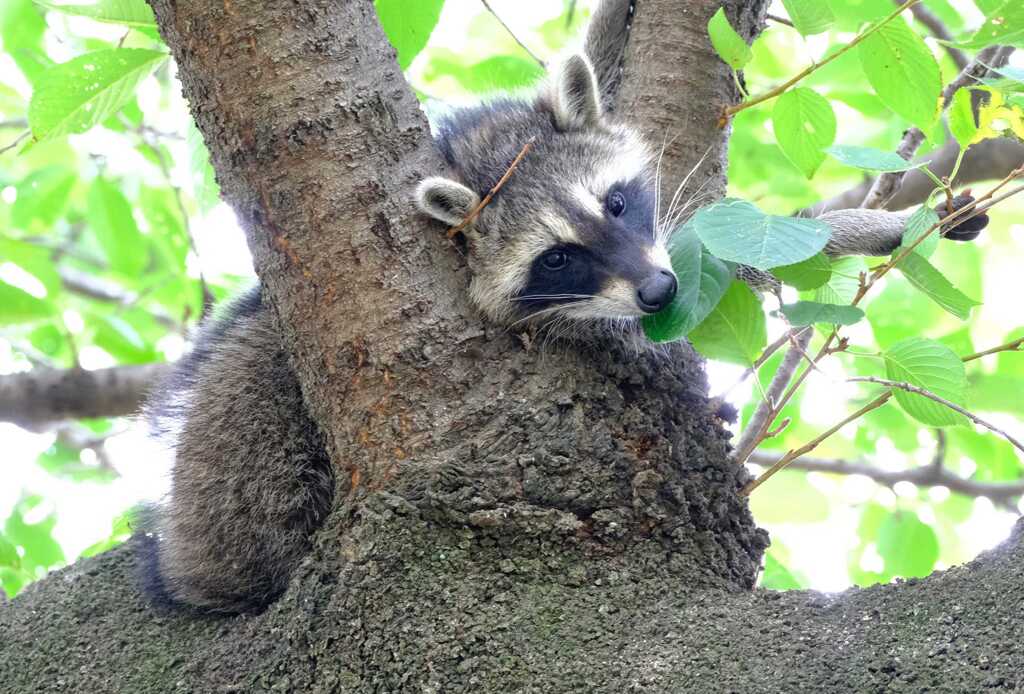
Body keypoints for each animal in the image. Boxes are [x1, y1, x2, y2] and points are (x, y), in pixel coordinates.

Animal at [140, 36, 987, 618]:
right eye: (558, 259)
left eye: (615, 202)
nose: (656, 289)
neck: (473, 153)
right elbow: (706, 279)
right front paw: (858, 226)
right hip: (250, 454)